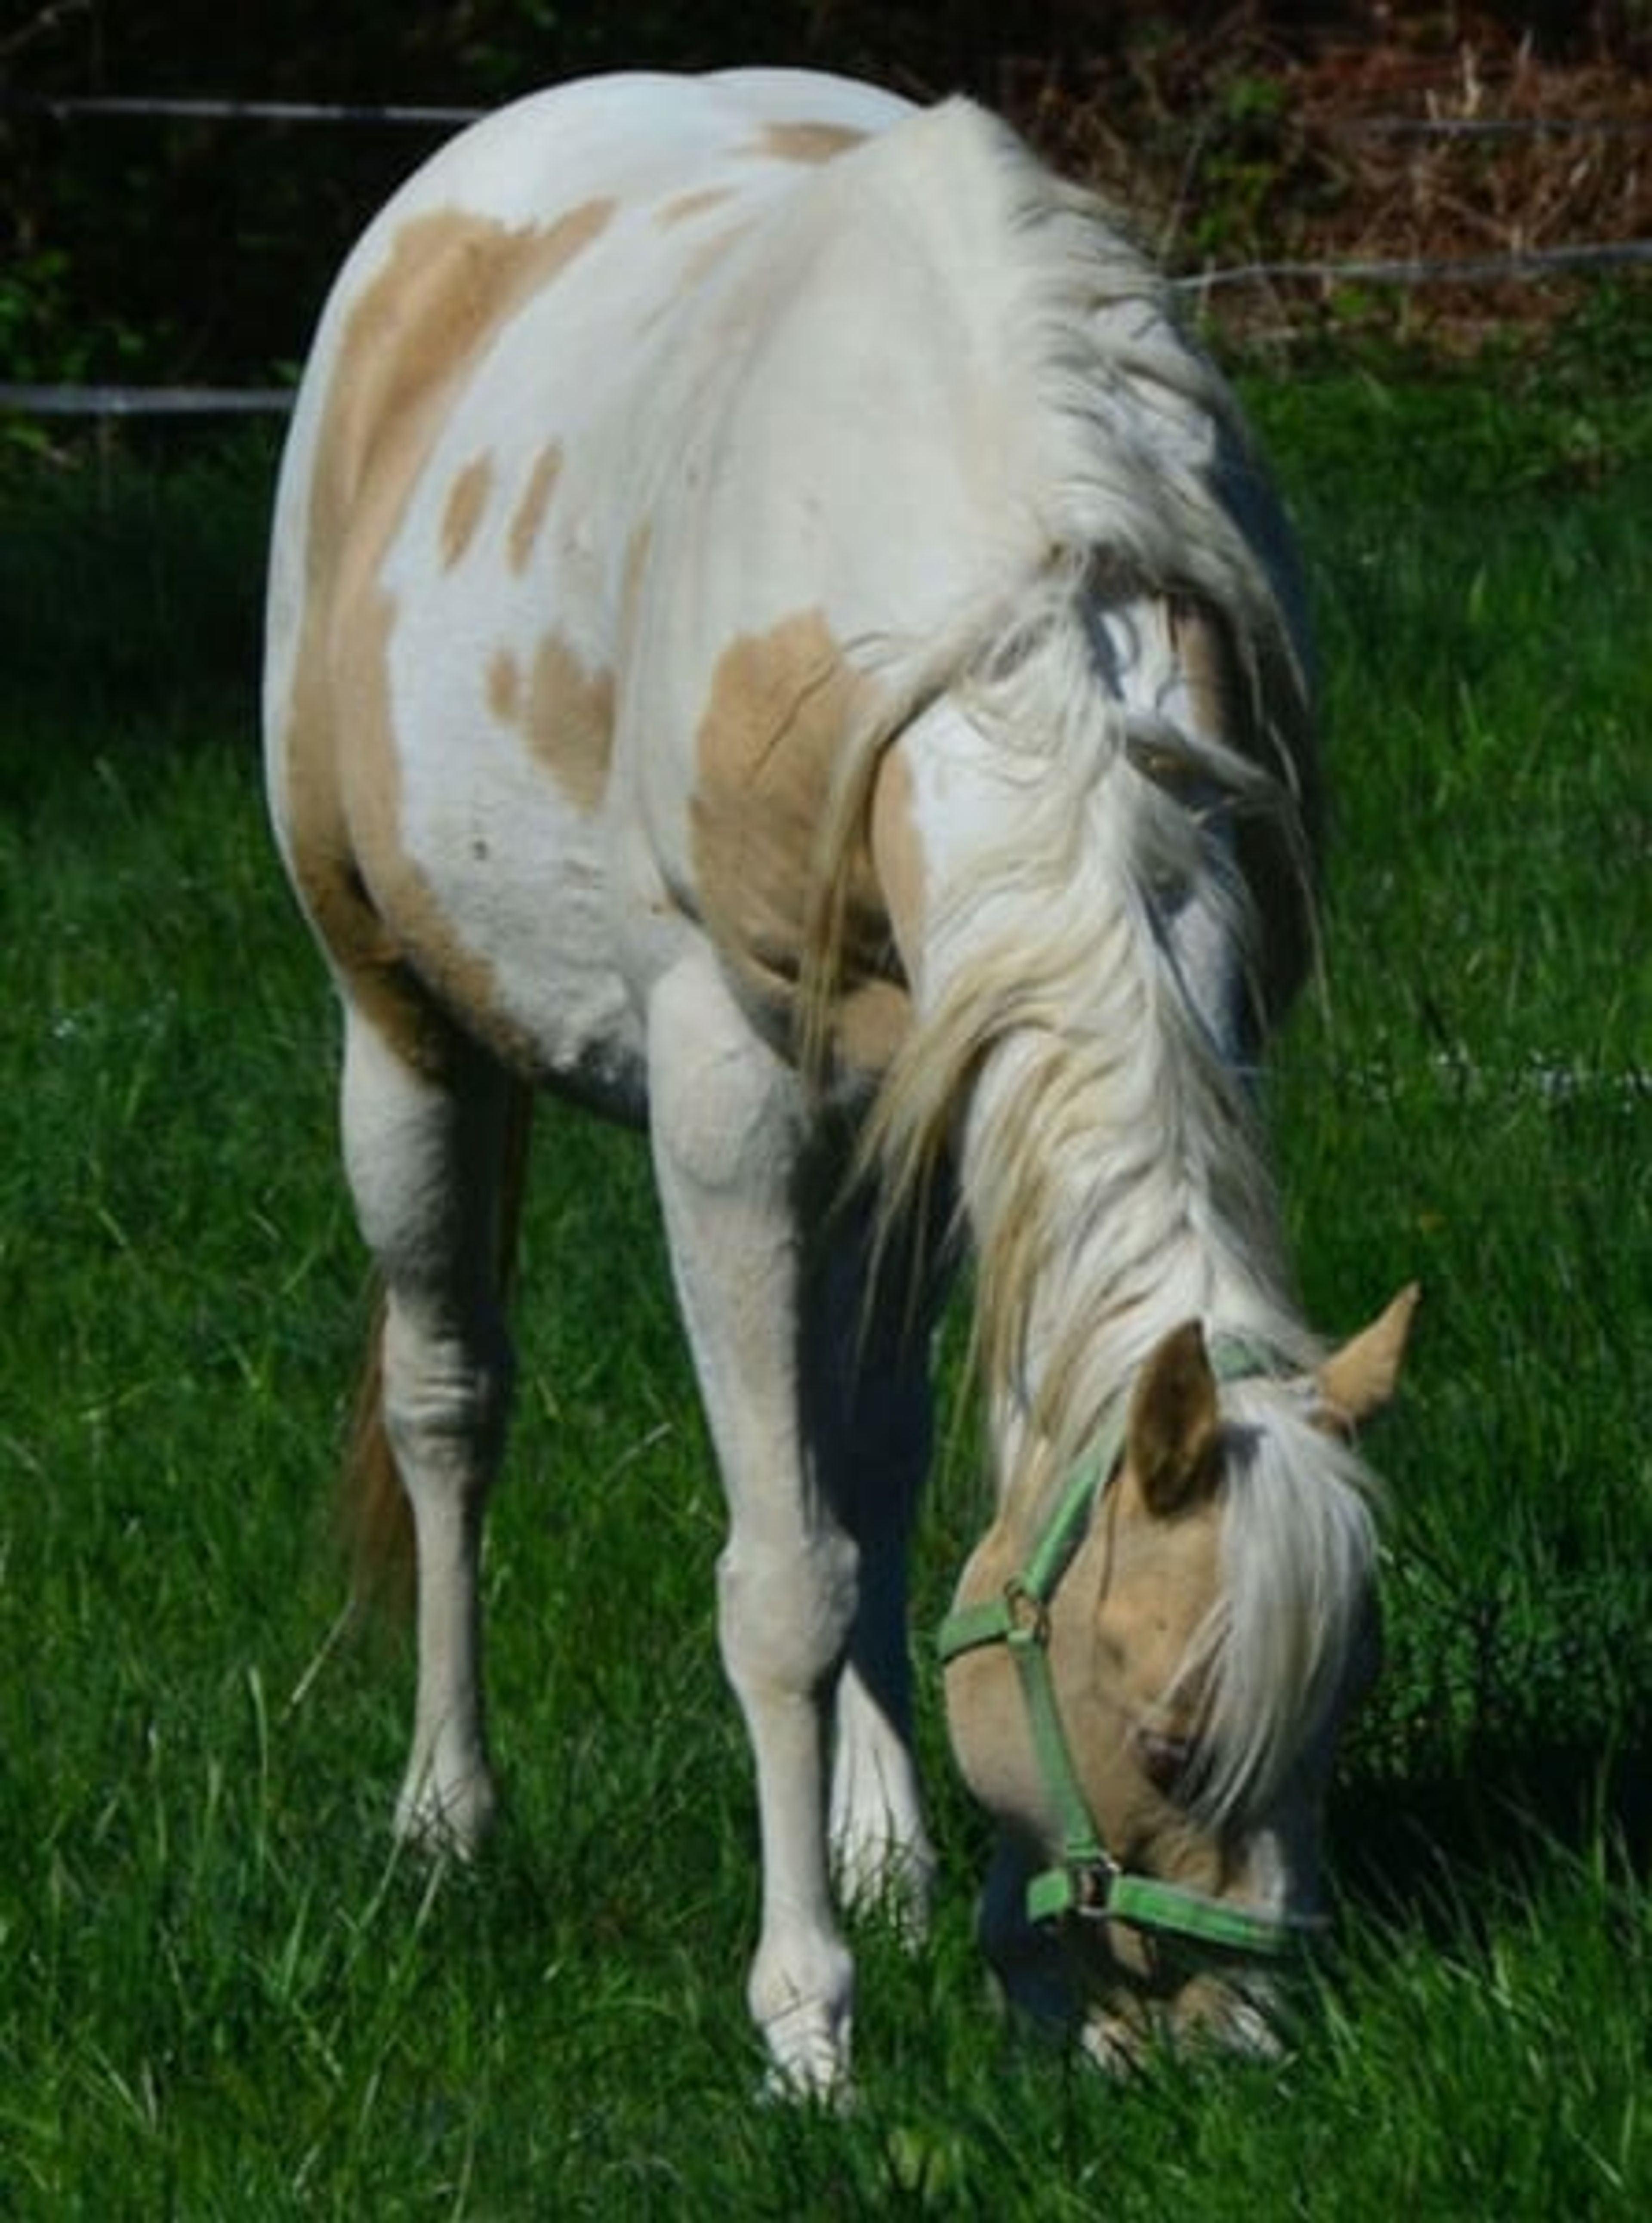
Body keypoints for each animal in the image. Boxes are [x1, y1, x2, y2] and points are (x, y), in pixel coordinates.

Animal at [263, 67, 1417, 2092]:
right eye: (1175, 1741)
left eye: (1339, 1719)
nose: (1234, 2053)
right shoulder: (730, 1116)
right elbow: (780, 1576)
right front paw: (806, 2018)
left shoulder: (954, 1100)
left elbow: (873, 1501)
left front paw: (954, 1911)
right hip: (393, 1025)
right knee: (446, 1404)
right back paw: (445, 1818)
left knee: (844, 1459)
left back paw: (877, 1842)